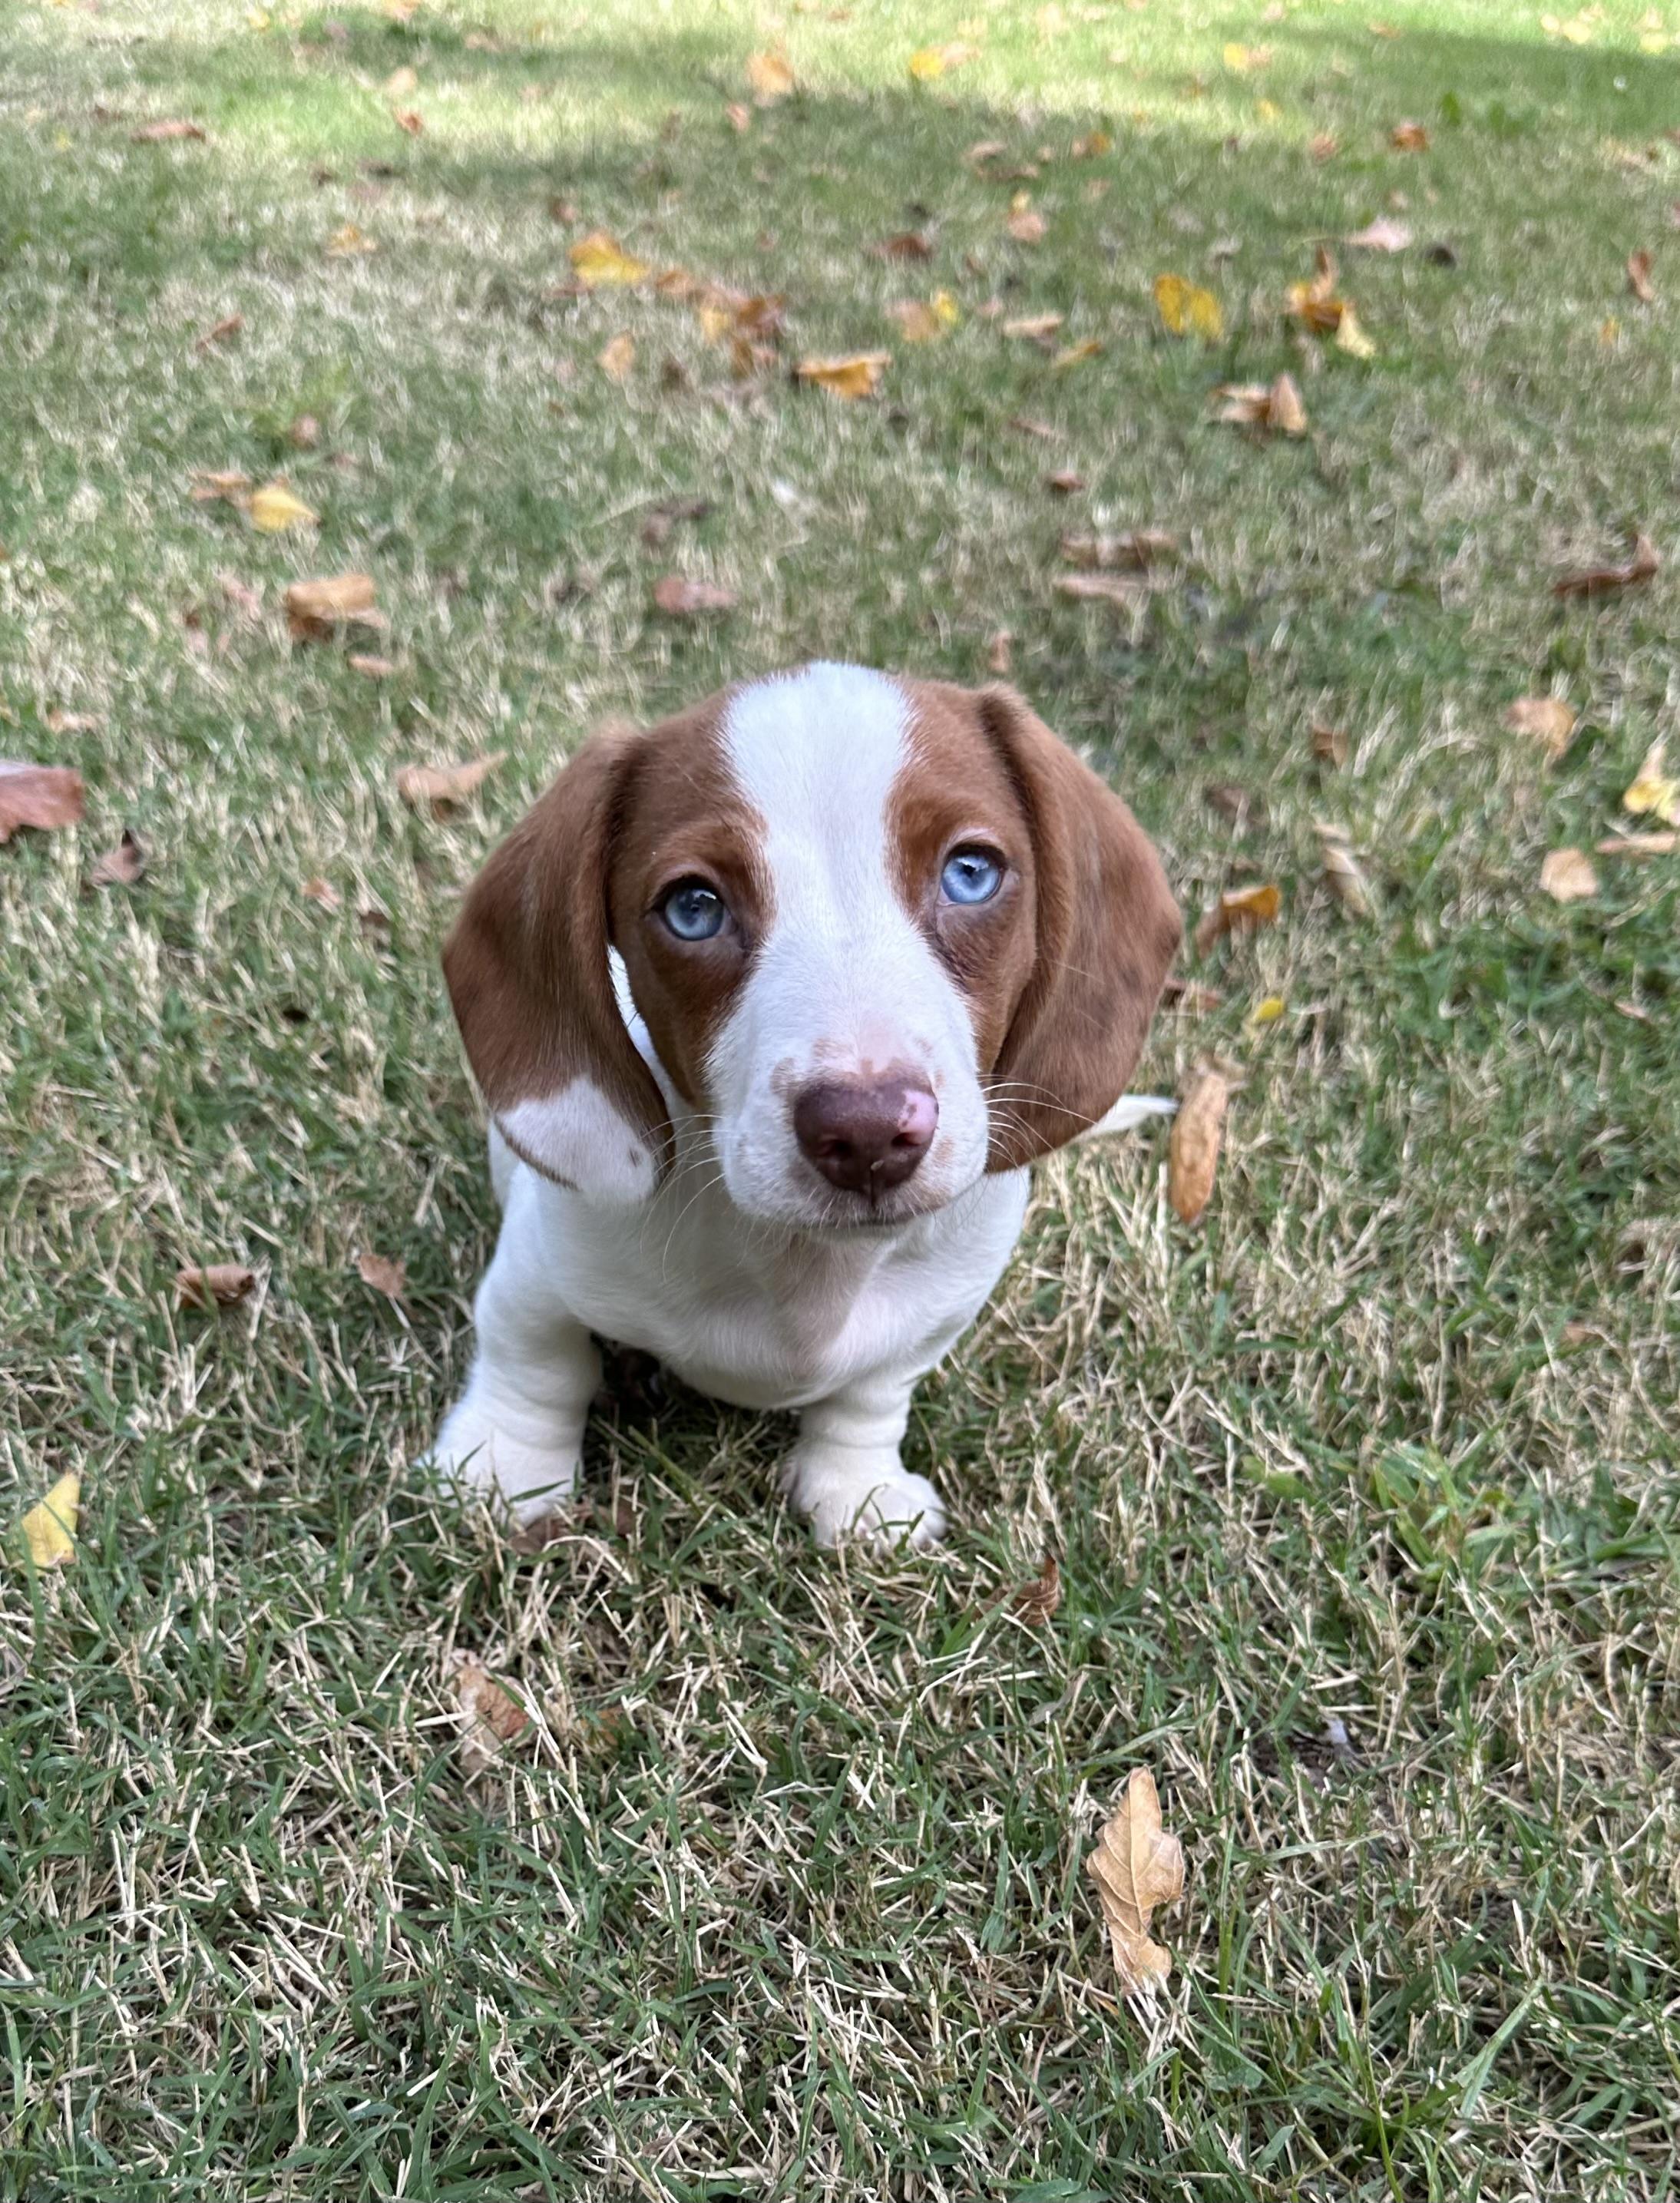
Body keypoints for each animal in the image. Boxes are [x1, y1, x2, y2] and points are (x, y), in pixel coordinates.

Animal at [423, 662, 1181, 1546]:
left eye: (970, 872)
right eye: (693, 907)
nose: (868, 1132)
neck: (807, 1264)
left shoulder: (932, 1313)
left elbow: (872, 1394)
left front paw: (856, 1490)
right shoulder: (541, 1260)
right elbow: (536, 1355)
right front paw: (504, 1467)